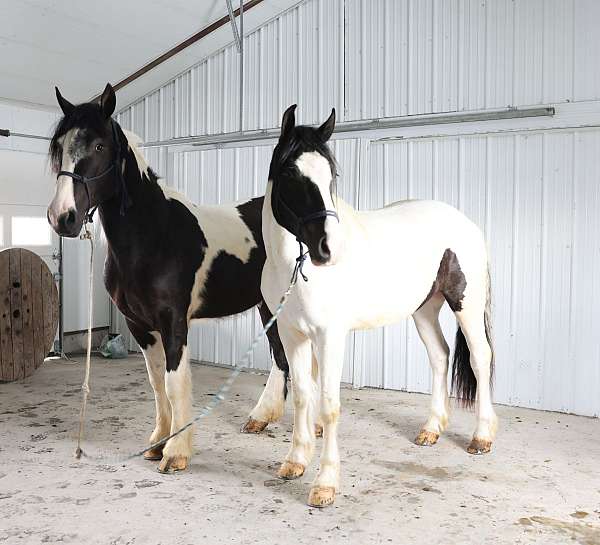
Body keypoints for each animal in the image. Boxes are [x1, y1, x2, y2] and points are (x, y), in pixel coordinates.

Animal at [45, 84, 290, 472]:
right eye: (59, 147)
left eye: (99, 146)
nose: (62, 217)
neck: (155, 235)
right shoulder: (140, 325)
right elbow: (157, 381)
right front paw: (157, 443)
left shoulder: (174, 321)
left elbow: (176, 382)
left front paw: (176, 452)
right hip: (267, 306)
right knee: (281, 357)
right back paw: (260, 419)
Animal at [258, 105, 496, 506]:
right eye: (291, 172)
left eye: (332, 175)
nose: (327, 250)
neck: (292, 268)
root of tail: (465, 223)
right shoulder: (292, 335)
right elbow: (304, 397)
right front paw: (295, 462)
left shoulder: (329, 336)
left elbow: (329, 405)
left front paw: (325, 483)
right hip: (424, 310)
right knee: (440, 356)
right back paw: (431, 429)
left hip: (467, 304)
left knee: (480, 358)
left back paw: (482, 437)